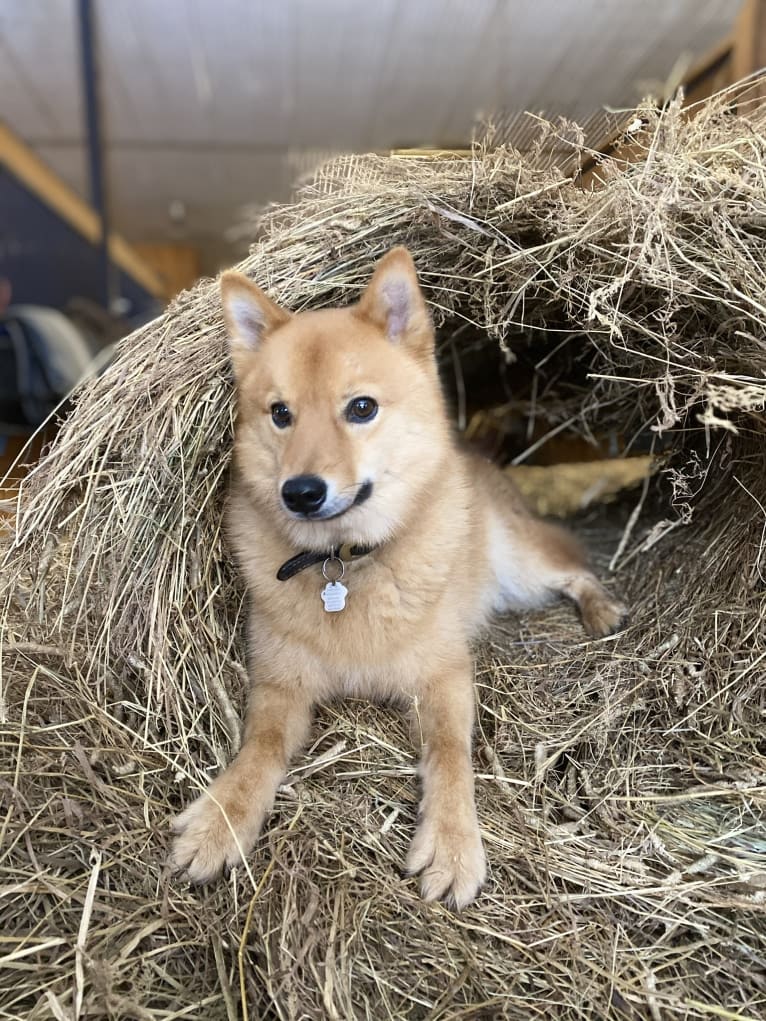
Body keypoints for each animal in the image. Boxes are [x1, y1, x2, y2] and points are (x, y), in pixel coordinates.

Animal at [170, 247, 625, 910]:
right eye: (280, 414)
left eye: (361, 408)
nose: (300, 492)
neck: (345, 563)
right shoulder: (280, 686)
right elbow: (260, 749)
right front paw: (221, 818)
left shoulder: (445, 679)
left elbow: (451, 755)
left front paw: (453, 842)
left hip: (524, 566)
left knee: (574, 572)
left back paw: (600, 608)